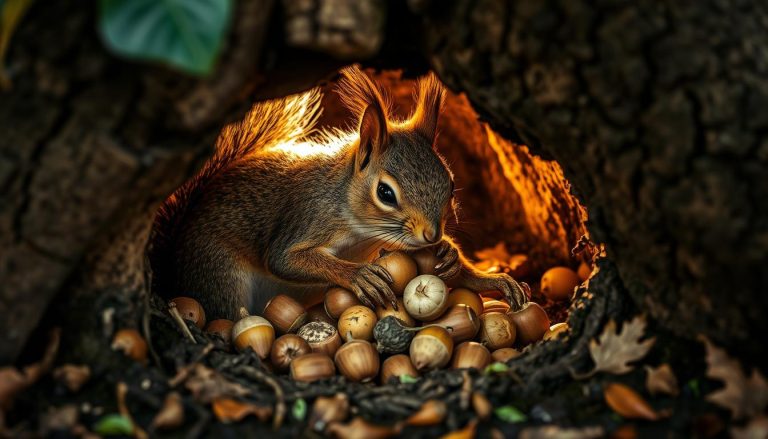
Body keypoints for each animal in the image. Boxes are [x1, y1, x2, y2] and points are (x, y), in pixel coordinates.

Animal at [151, 67, 528, 320]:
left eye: (449, 183)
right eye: (385, 193)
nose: (432, 234)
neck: (359, 229)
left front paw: (471, 268)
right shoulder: (307, 216)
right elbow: (284, 259)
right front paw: (358, 275)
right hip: (220, 274)